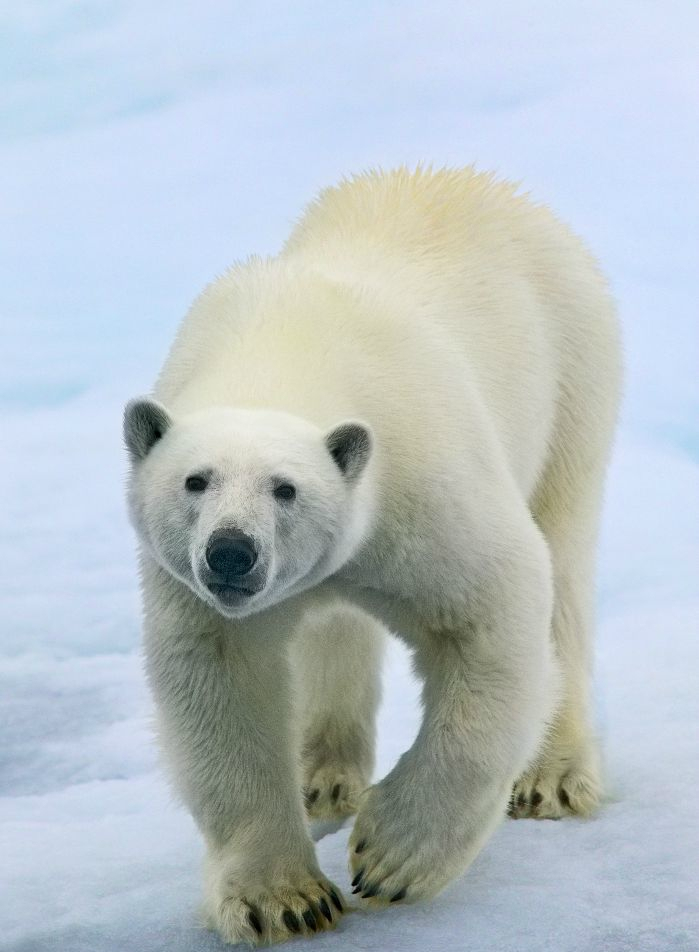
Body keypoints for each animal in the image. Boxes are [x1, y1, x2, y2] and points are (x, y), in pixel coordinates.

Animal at [124, 166, 621, 946]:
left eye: (286, 487)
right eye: (194, 481)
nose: (231, 554)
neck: (284, 354)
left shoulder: (421, 480)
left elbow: (493, 612)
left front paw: (393, 857)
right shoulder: (197, 588)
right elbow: (223, 681)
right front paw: (282, 900)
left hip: (573, 374)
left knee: (563, 562)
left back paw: (552, 778)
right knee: (334, 627)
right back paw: (322, 775)